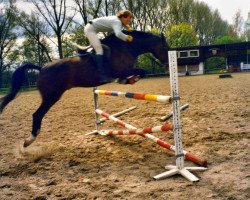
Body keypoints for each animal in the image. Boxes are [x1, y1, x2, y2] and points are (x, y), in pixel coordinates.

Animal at [0, 30, 169, 148]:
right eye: (165, 47)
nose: (167, 64)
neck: (126, 47)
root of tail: (42, 68)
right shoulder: (121, 70)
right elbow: (141, 71)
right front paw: (130, 79)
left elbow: (139, 72)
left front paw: (128, 80)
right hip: (51, 96)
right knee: (37, 115)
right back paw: (29, 140)